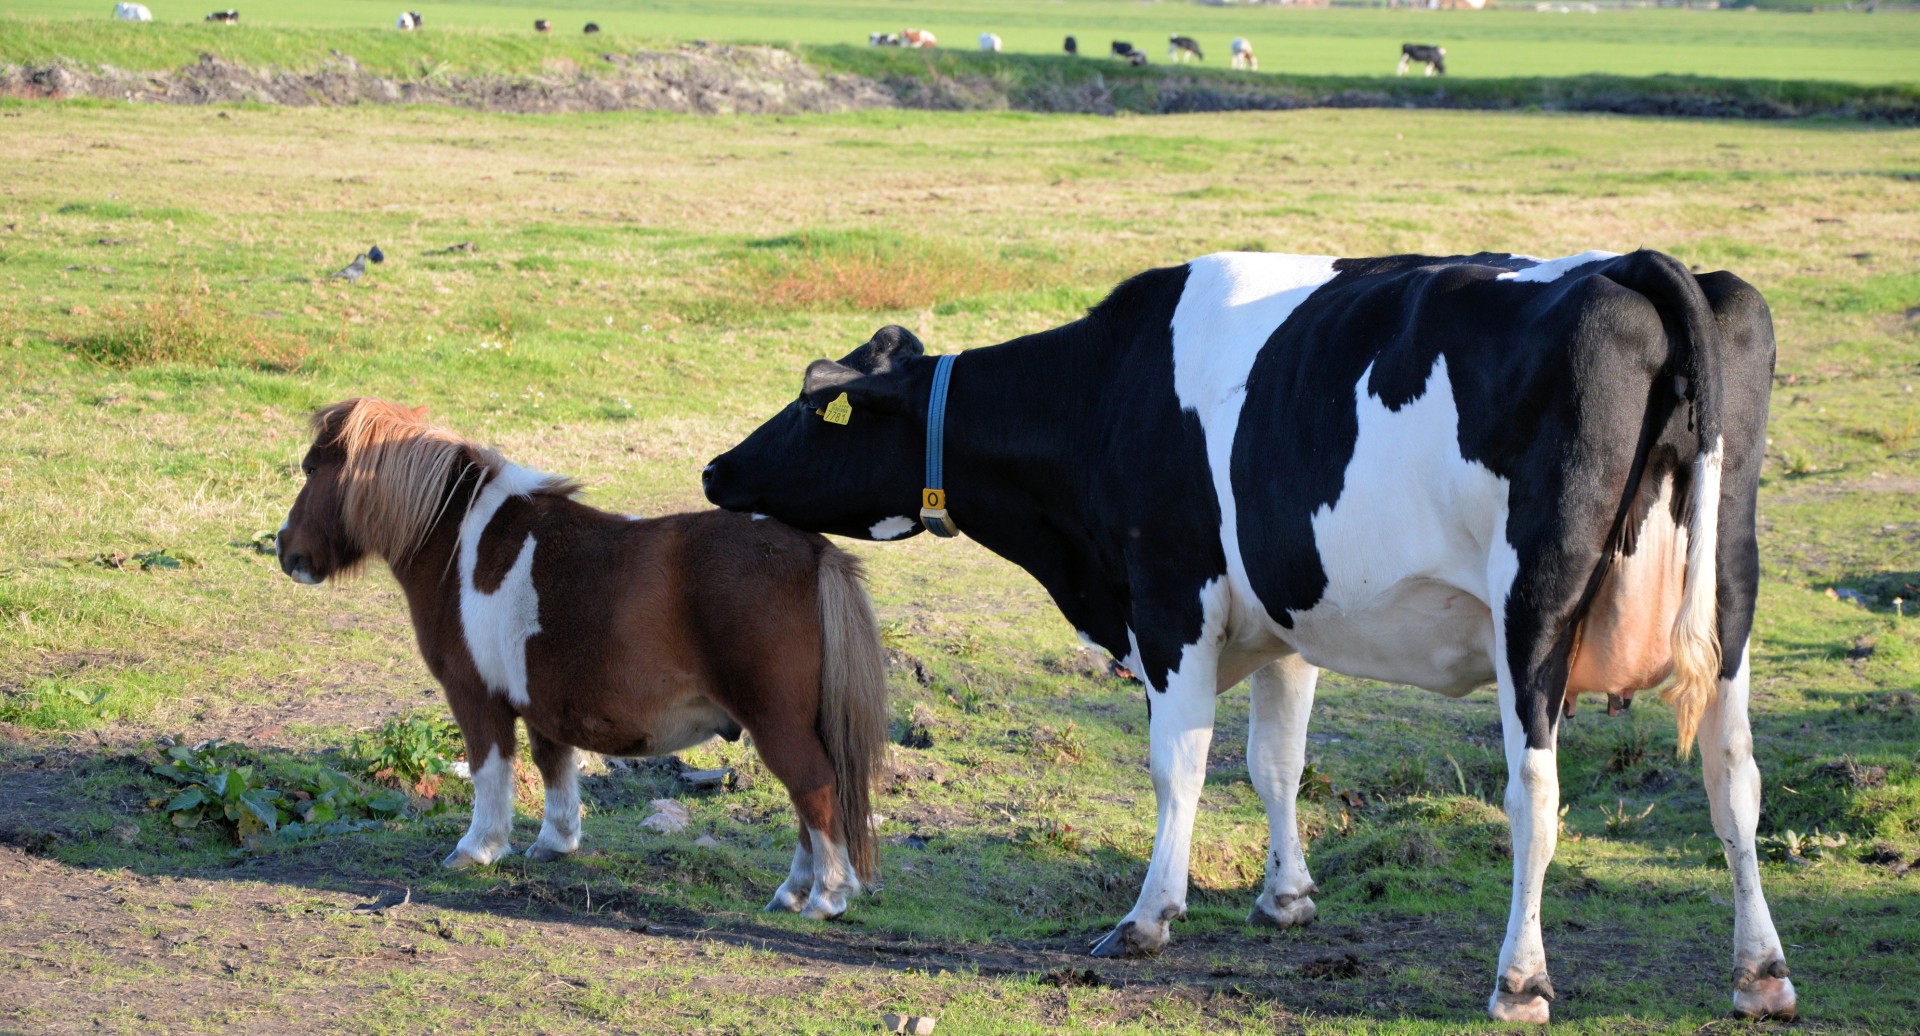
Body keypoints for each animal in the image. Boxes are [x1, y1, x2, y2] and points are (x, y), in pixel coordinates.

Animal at [278, 400, 890, 917]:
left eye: (310, 470)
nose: (286, 550)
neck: (463, 542)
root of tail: (813, 551)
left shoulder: (476, 696)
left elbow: (489, 770)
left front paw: (477, 848)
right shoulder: (540, 699)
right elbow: (554, 766)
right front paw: (555, 842)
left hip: (776, 723)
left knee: (815, 791)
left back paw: (825, 897)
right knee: (811, 804)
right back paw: (793, 892)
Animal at [706, 249, 1797, 1020]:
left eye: (818, 408)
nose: (717, 469)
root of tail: (1635, 266)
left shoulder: (1169, 598)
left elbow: (1180, 765)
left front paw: (1148, 916)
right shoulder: (1286, 615)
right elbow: (1278, 763)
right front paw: (1286, 900)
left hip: (1536, 606)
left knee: (1536, 793)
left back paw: (1519, 981)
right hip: (1731, 595)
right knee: (1734, 776)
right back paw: (1761, 974)